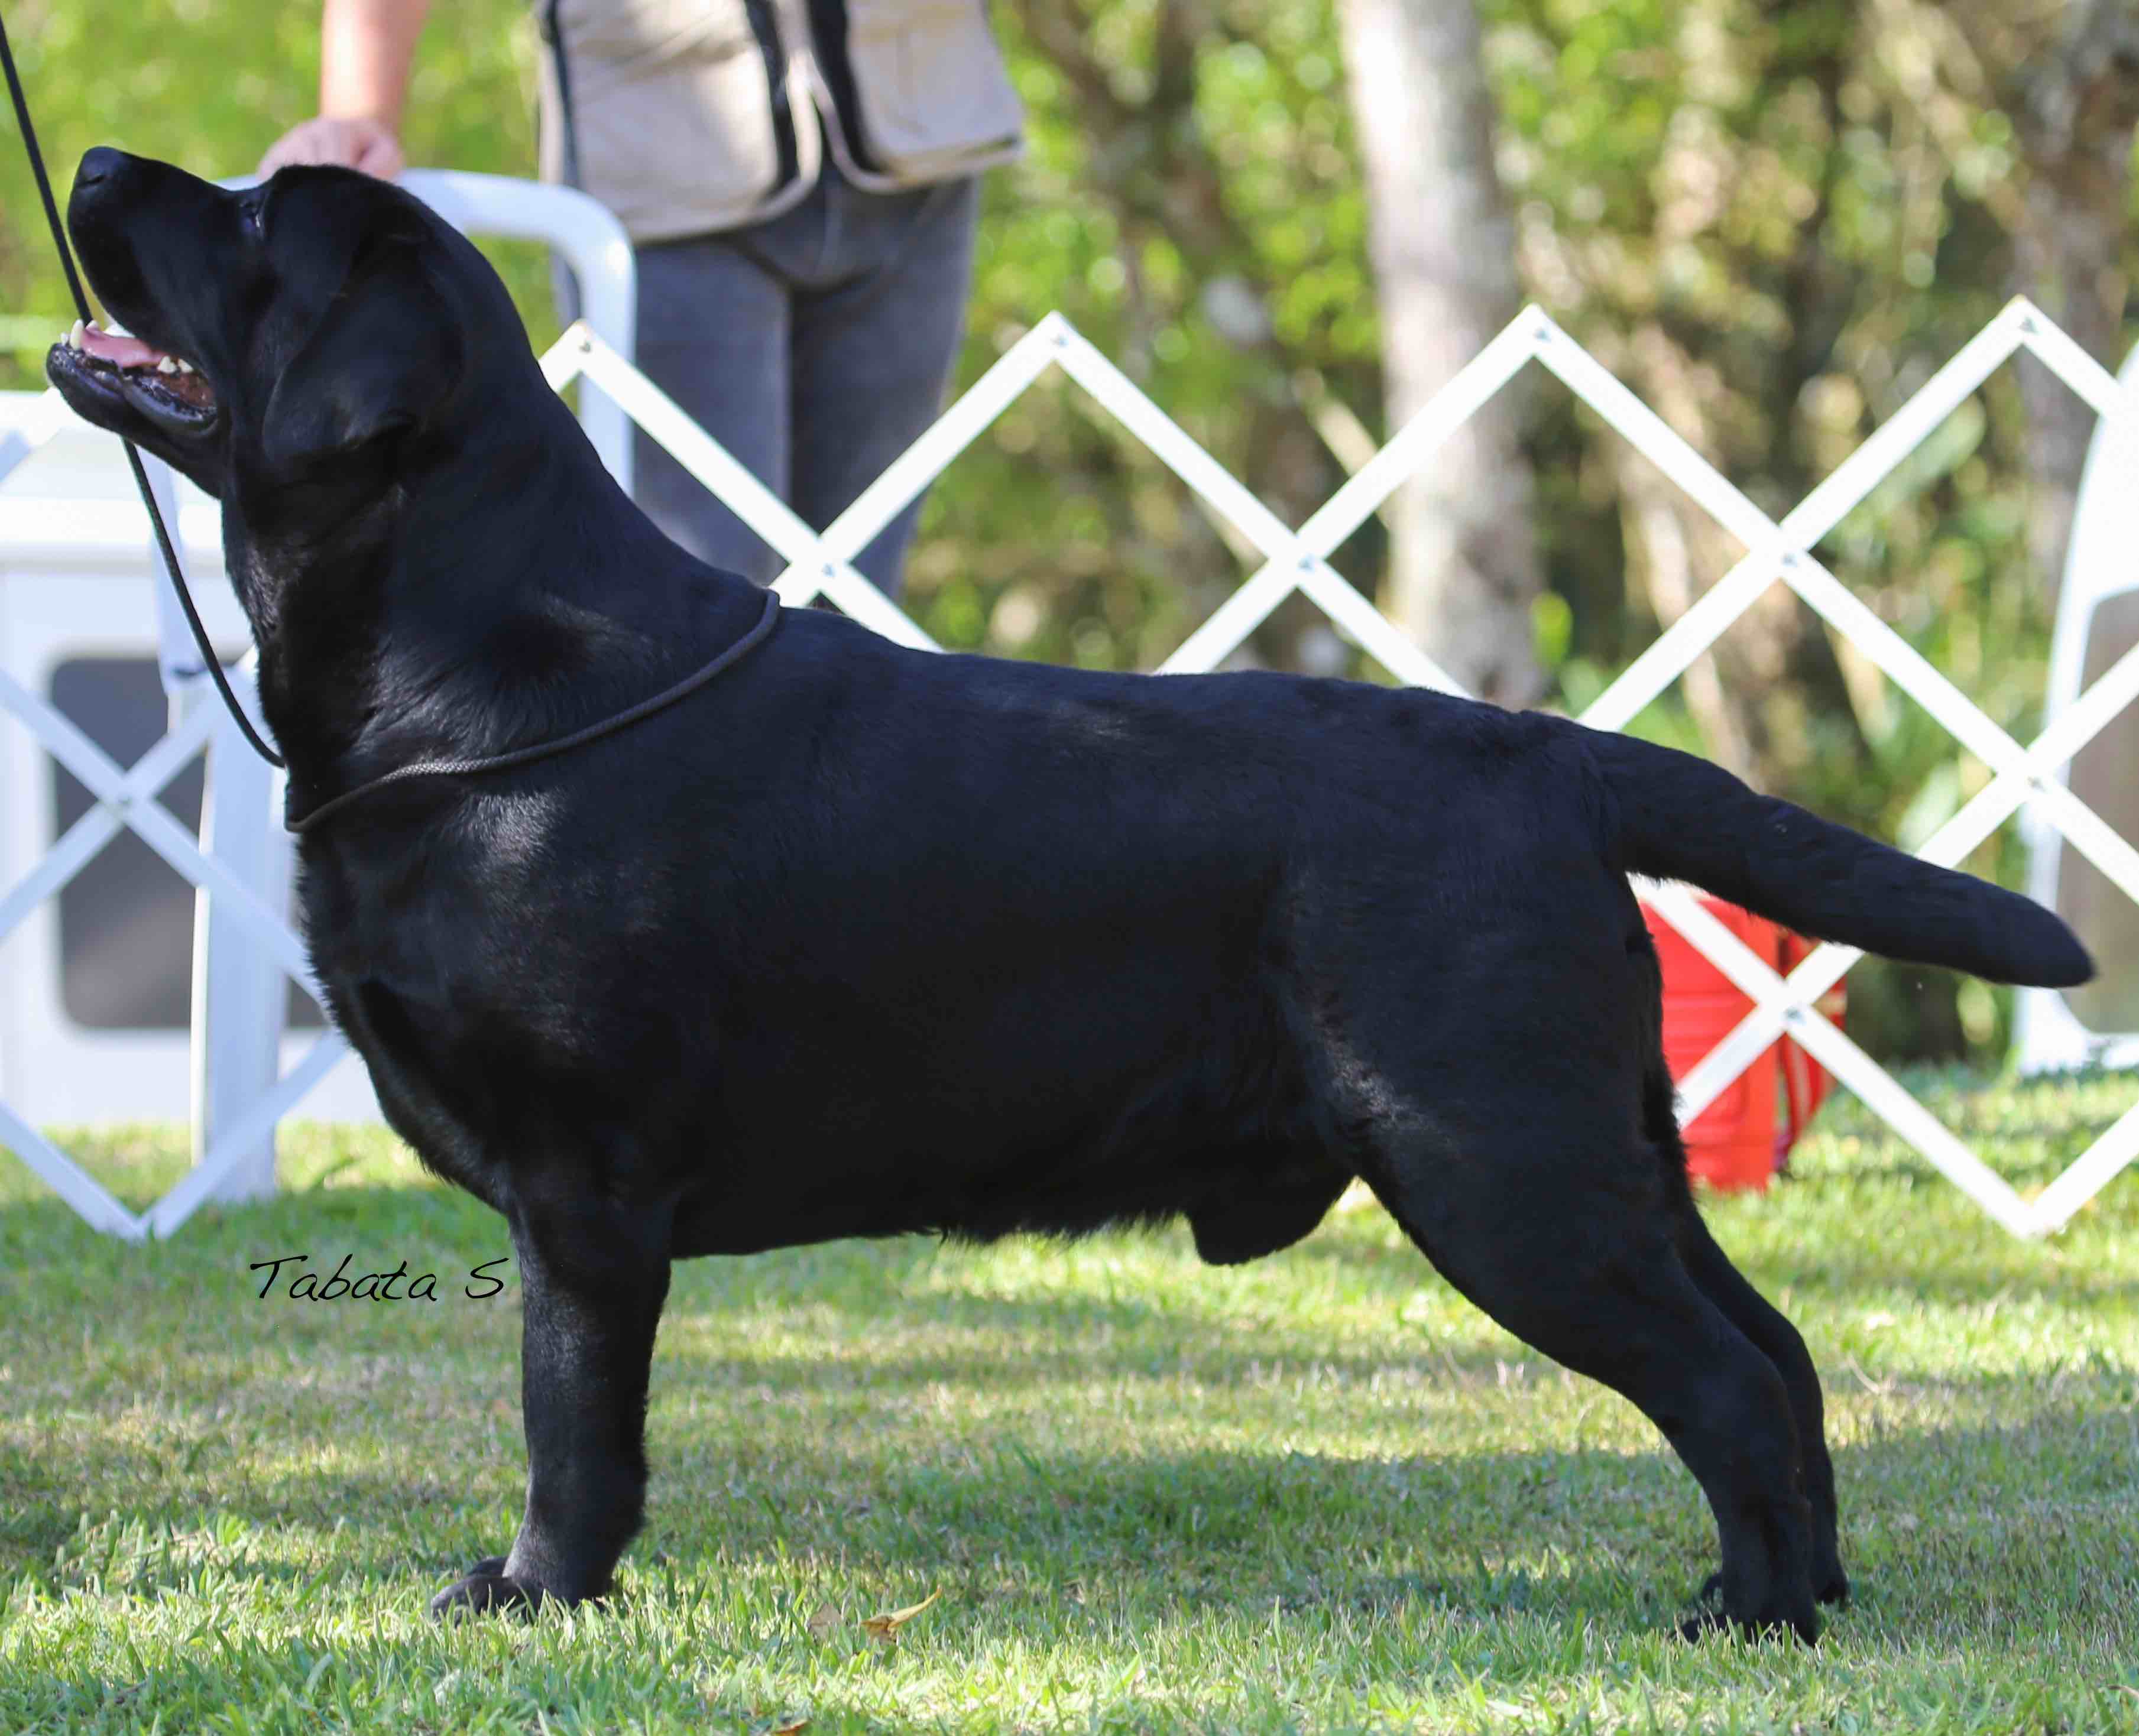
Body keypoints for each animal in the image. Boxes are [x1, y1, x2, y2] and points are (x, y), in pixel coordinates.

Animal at [49, 147, 2090, 1643]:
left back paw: (1751, 1619)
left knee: (1731, 1381)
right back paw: (1806, 1594)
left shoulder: (586, 1187)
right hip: (1598, 1151)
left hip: (1502, 1163)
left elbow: (573, 1427)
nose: (89, 155)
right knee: (1783, 1354)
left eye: (252, 222)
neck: (478, 668)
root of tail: (1548, 753)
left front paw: (538, 1592)